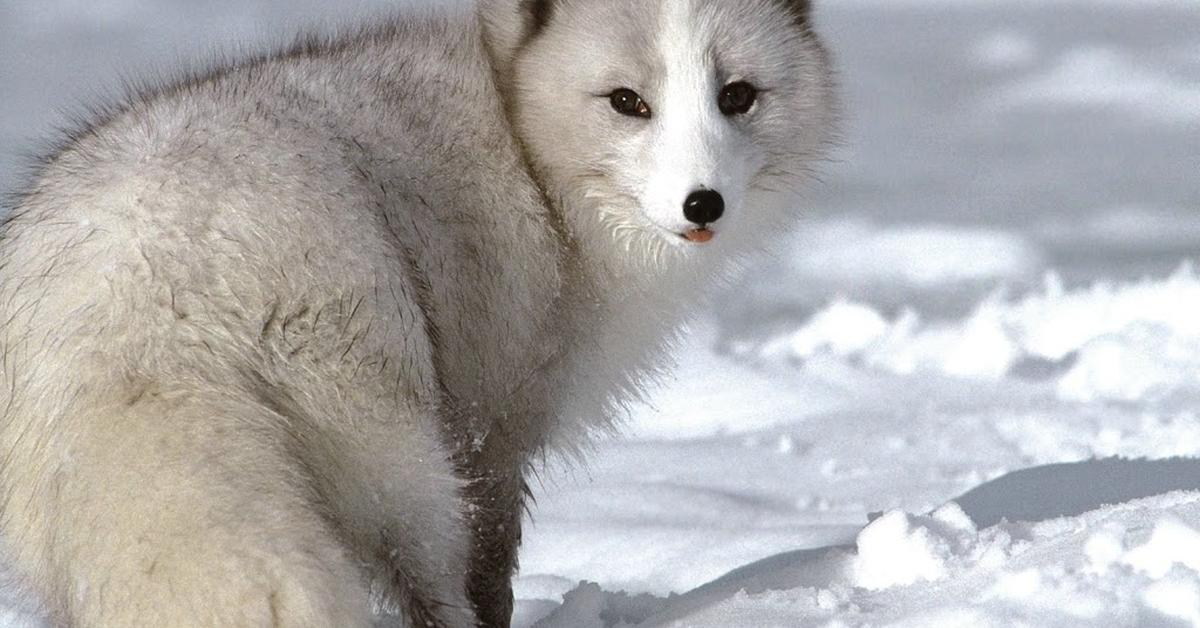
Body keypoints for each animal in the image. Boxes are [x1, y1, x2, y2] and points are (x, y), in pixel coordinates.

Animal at [0, 1, 835, 624]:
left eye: (737, 95)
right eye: (629, 103)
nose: (703, 204)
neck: (524, 144)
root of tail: (141, 290)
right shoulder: (495, 424)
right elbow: (491, 565)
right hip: (393, 449)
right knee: (428, 575)